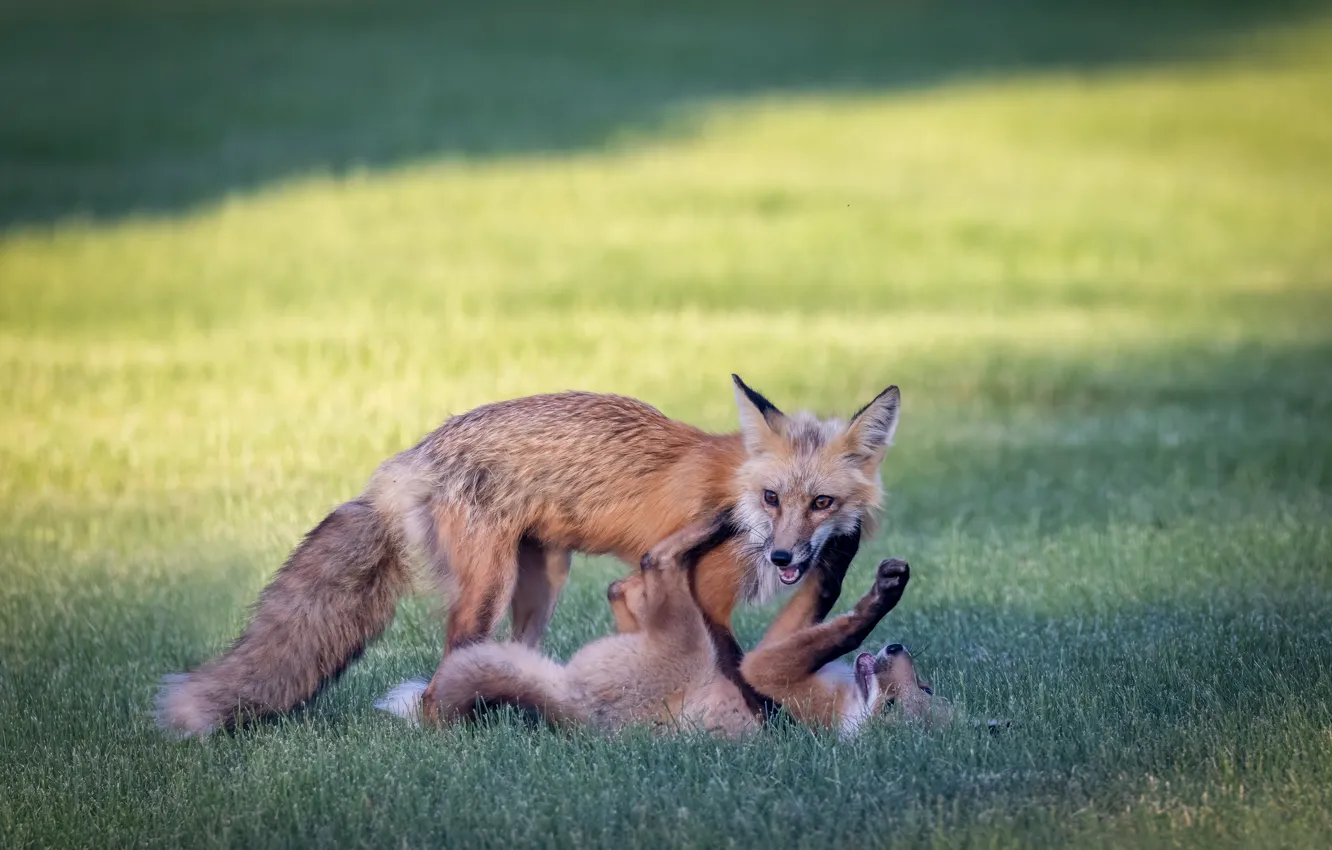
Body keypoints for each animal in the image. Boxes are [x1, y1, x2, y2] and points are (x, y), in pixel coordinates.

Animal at [375, 514, 947, 738]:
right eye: (927, 686)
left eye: (895, 705)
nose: (896, 649)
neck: (842, 713)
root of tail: (579, 713)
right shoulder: (772, 652)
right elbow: (823, 595)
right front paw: (847, 549)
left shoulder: (768, 673)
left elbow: (842, 627)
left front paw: (882, 595)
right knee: (631, 584)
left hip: (688, 636)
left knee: (656, 562)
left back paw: (714, 524)